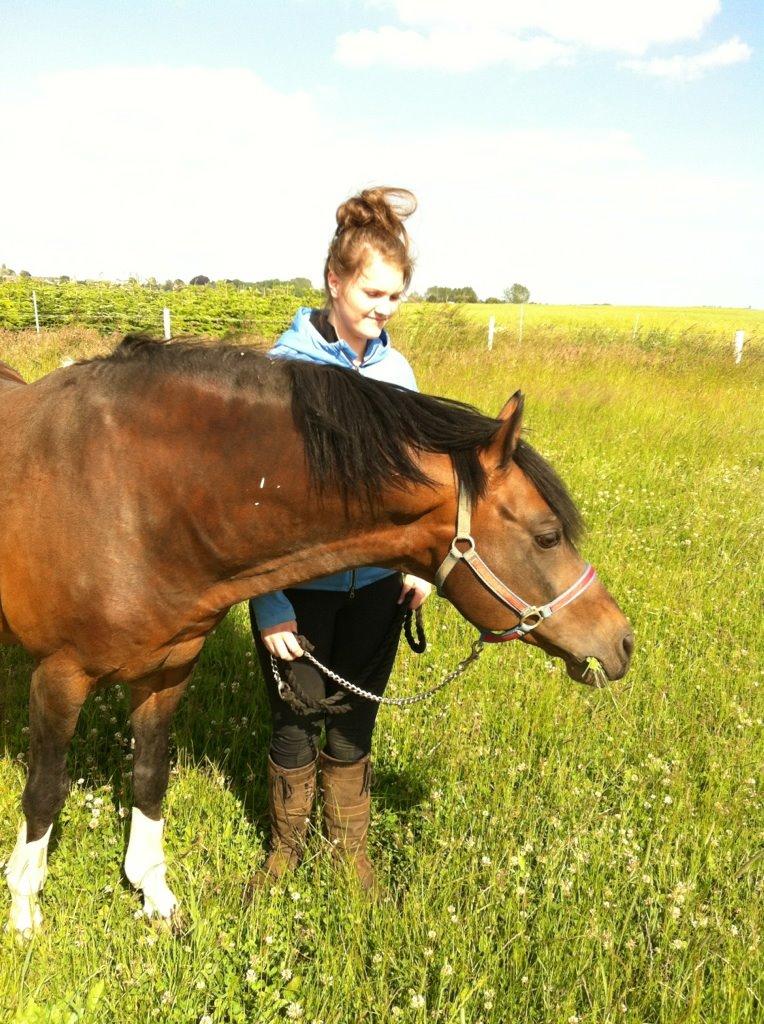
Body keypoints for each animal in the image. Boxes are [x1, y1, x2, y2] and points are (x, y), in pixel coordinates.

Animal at [0, 334, 633, 933]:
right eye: (548, 535)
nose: (621, 642)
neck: (132, 496)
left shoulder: (167, 672)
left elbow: (150, 777)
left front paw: (155, 895)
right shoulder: (59, 676)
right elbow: (44, 791)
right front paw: (25, 912)